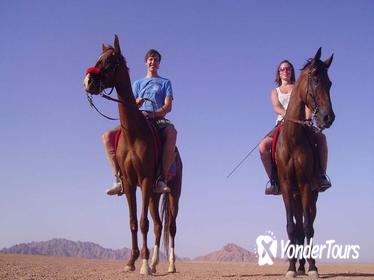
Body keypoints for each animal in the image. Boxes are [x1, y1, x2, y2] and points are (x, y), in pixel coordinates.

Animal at [83, 35, 183, 276]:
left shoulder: (145, 180)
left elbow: (143, 222)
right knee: (158, 224)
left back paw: (170, 264)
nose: (88, 81)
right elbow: (133, 222)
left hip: (173, 192)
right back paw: (156, 263)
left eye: (110, 61)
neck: (134, 133)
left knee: (171, 226)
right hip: (155, 194)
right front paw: (132, 261)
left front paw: (144, 265)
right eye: (99, 58)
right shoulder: (130, 183)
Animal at [276, 48, 334, 278]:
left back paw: (308, 264)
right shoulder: (286, 187)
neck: (293, 139)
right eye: (316, 80)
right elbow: (292, 228)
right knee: (298, 226)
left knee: (308, 224)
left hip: (311, 195)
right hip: (294, 196)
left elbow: (308, 228)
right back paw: (299, 266)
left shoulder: (306, 186)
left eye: (330, 83)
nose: (328, 118)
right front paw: (291, 268)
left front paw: (312, 268)